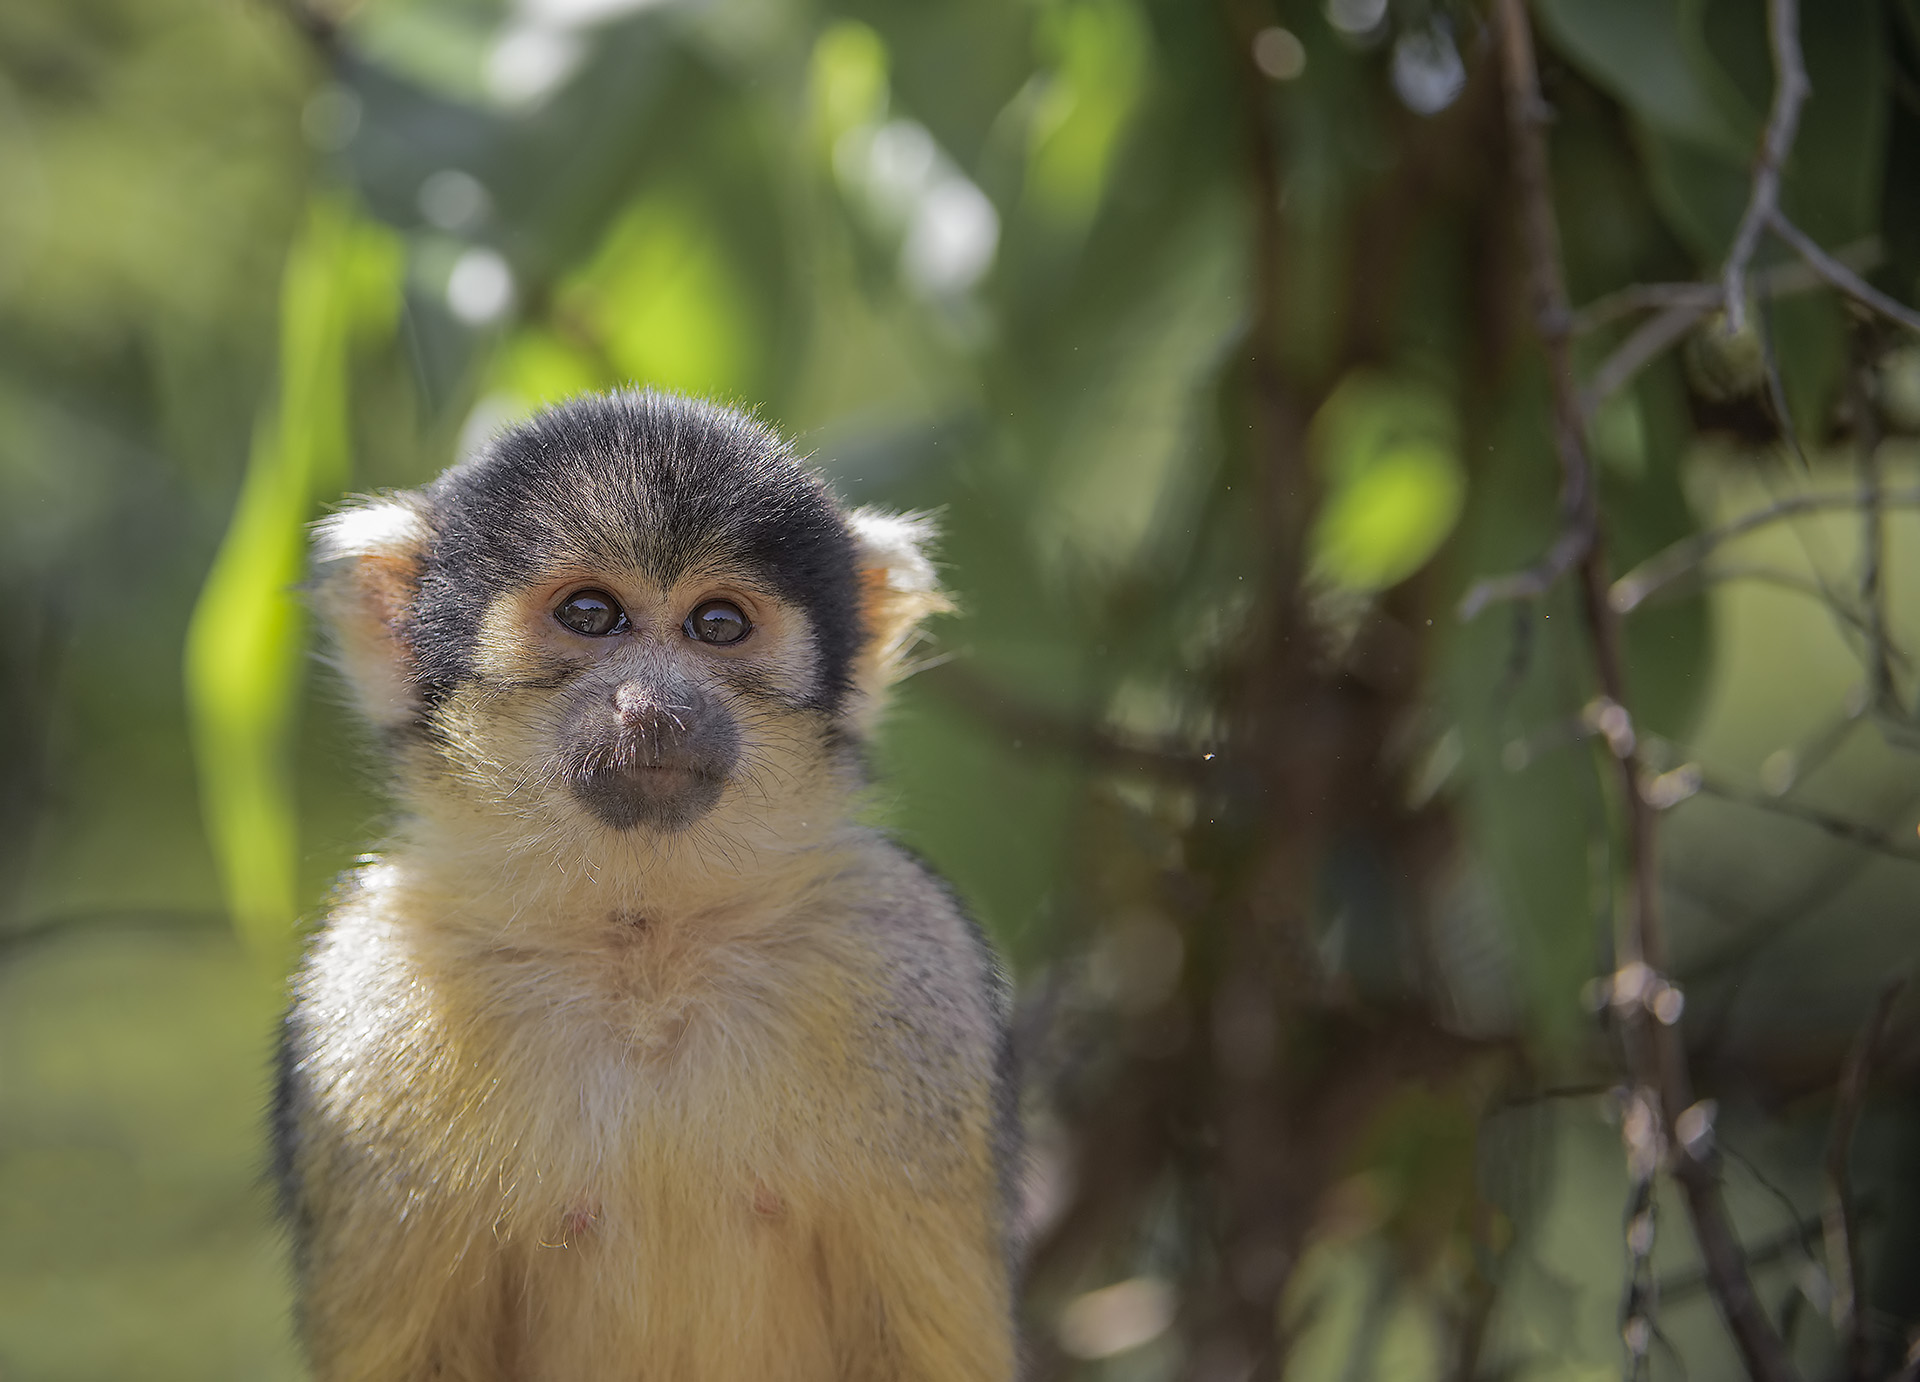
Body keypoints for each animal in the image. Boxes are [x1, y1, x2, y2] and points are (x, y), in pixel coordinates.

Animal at [271, 390, 1019, 1382]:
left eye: (718, 625)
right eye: (592, 614)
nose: (656, 704)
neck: (643, 940)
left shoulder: (908, 959)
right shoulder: (364, 996)